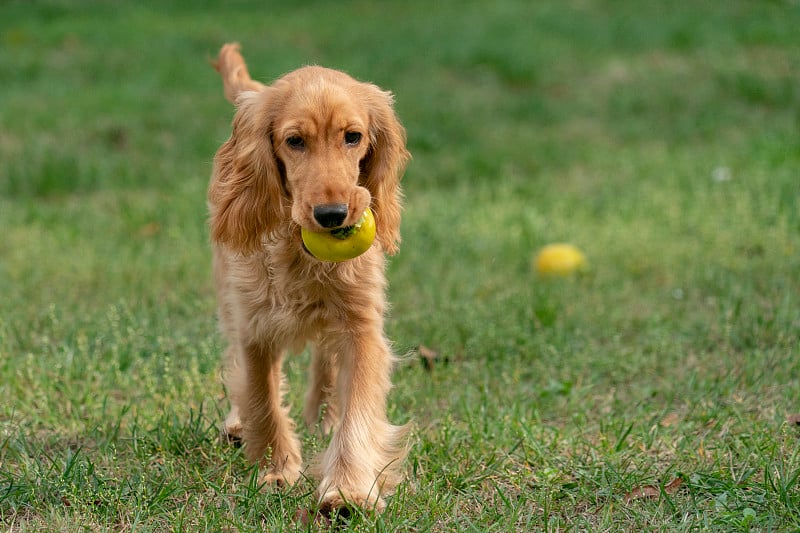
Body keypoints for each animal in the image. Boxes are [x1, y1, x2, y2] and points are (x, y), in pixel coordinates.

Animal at [208, 44, 406, 512]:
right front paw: (276, 469)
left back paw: (324, 415)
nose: (333, 215)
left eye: (353, 137)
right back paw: (239, 424)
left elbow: (358, 409)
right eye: (294, 141)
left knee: (326, 361)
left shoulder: (361, 324)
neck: (301, 254)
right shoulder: (255, 324)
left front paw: (347, 489)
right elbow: (261, 395)